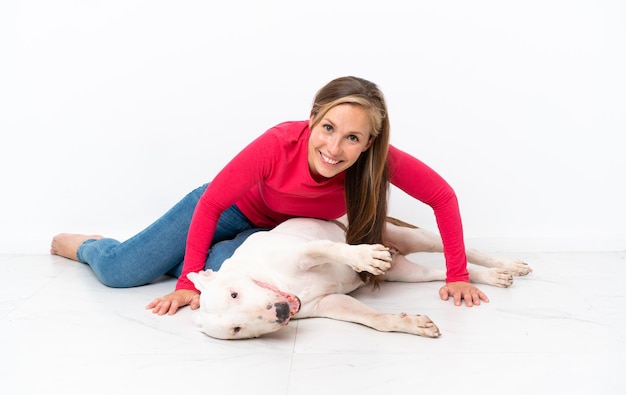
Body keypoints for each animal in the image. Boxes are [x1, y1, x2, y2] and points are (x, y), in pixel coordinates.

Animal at [188, 217, 528, 340]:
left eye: (234, 294)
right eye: (237, 329)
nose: (282, 312)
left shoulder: (302, 252)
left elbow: (331, 248)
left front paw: (364, 257)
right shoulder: (330, 303)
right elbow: (372, 318)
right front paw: (410, 324)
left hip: (408, 235)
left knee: (460, 249)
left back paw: (506, 265)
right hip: (408, 274)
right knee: (439, 273)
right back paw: (492, 276)